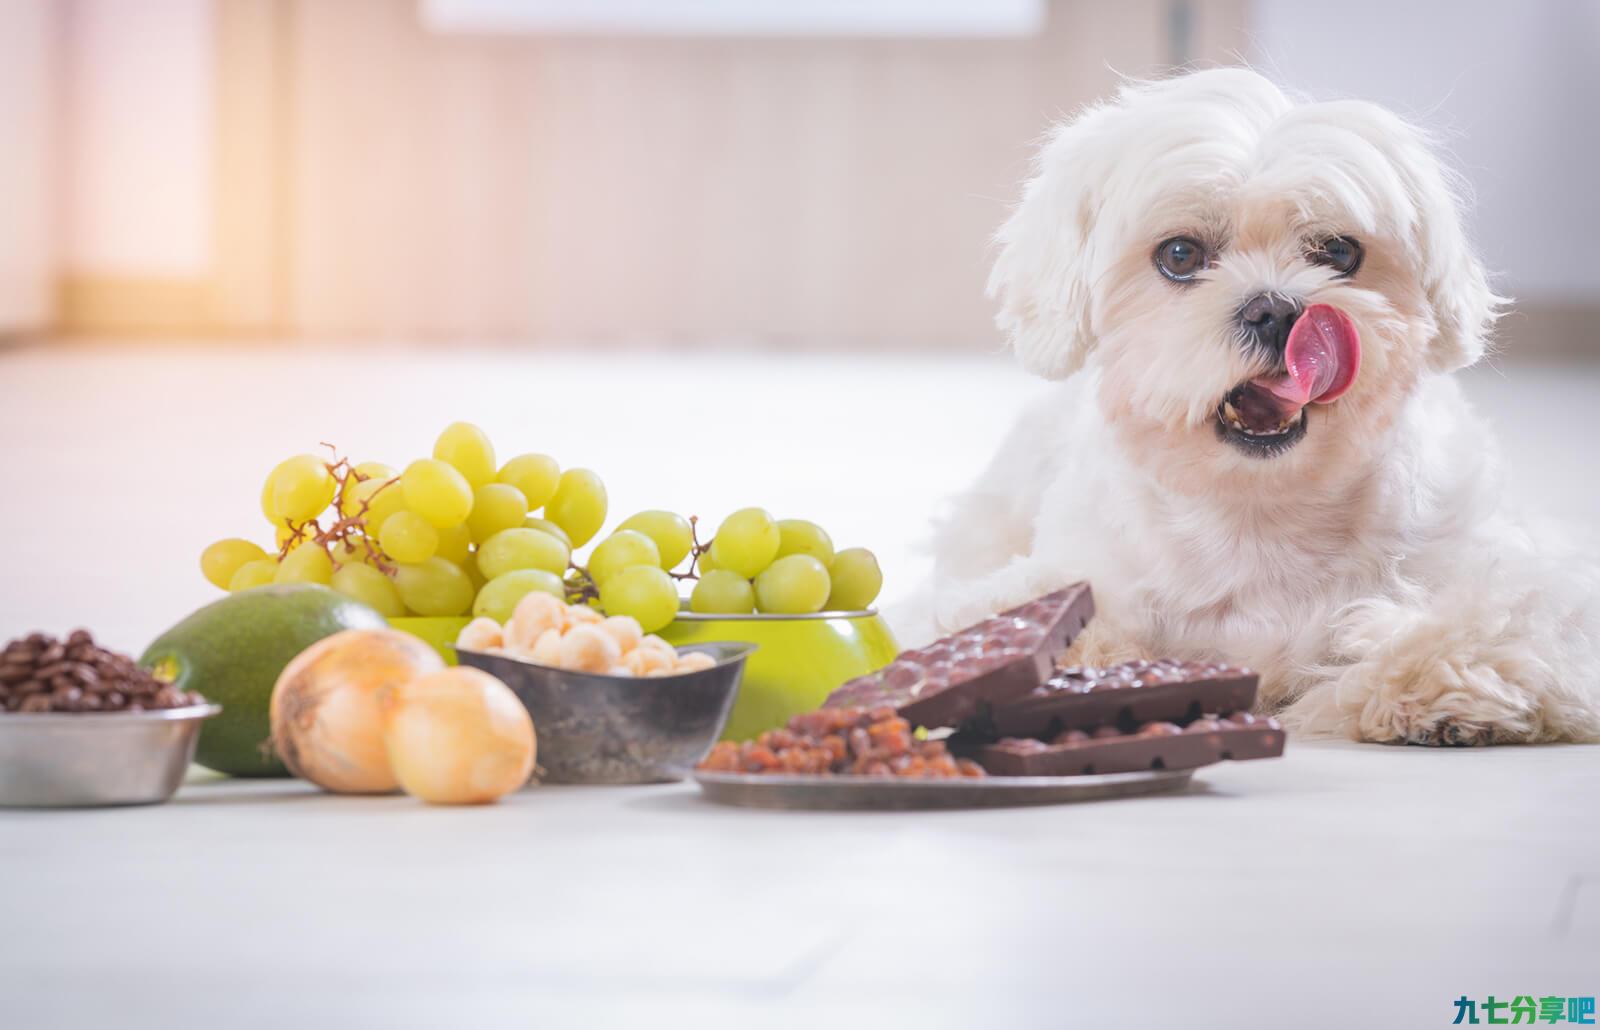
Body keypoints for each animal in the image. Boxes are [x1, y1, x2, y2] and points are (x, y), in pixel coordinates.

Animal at [915, 68, 1600, 748]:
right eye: (1180, 255)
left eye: (1339, 252)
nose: (1275, 310)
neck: (1257, 510)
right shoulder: (1069, 574)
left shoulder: (1510, 575)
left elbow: (1498, 619)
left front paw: (1435, 683)